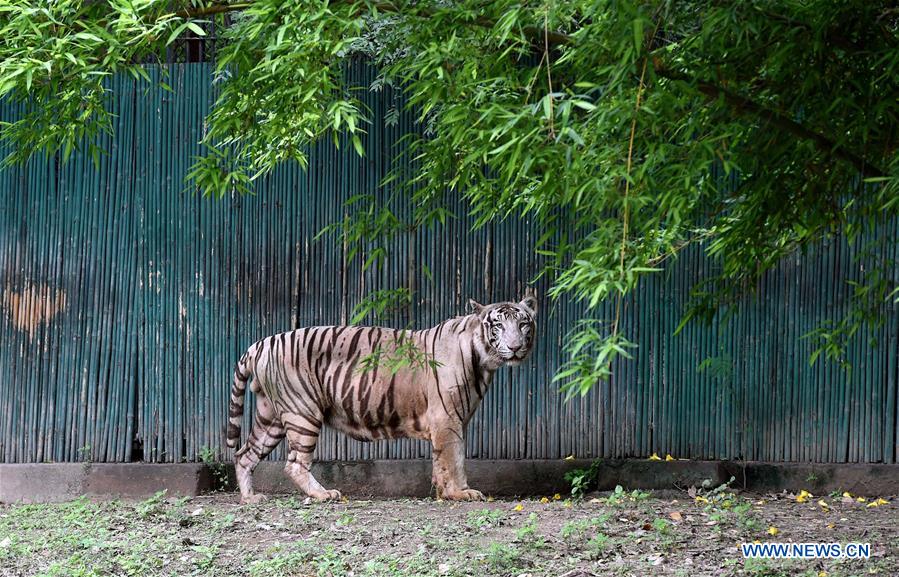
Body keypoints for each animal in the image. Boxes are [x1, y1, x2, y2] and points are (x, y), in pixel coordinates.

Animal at [225, 293, 538, 504]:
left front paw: (443, 492)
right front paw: (460, 492)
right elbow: (455, 458)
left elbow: (443, 460)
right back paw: (324, 494)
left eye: (524, 324)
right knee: (293, 463)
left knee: (244, 454)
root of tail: (260, 343)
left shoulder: (452, 421)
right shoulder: (448, 419)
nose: (516, 347)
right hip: (302, 412)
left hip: (272, 417)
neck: (484, 361)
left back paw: (250, 498)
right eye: (498, 325)